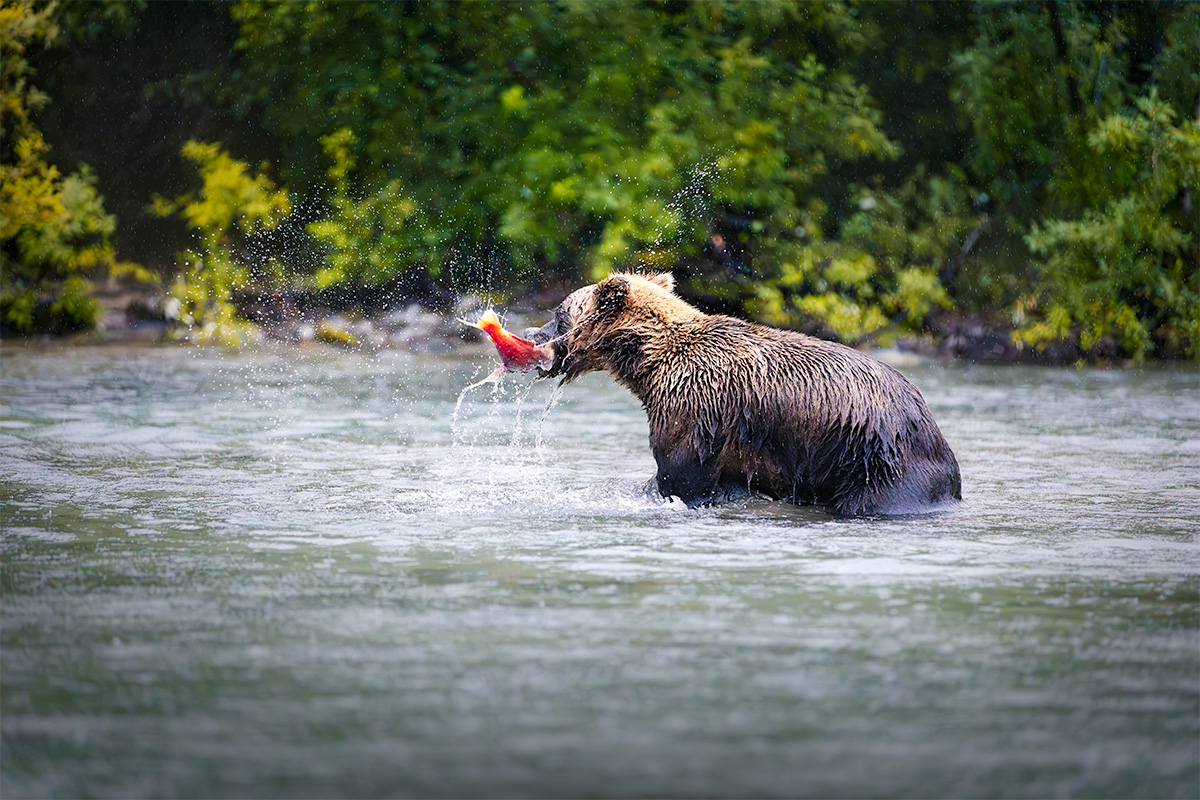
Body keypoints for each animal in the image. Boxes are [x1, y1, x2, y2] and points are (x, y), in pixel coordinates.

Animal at [524, 272, 962, 516]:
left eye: (560, 313)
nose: (531, 333)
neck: (648, 360)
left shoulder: (694, 408)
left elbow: (680, 477)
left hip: (876, 462)